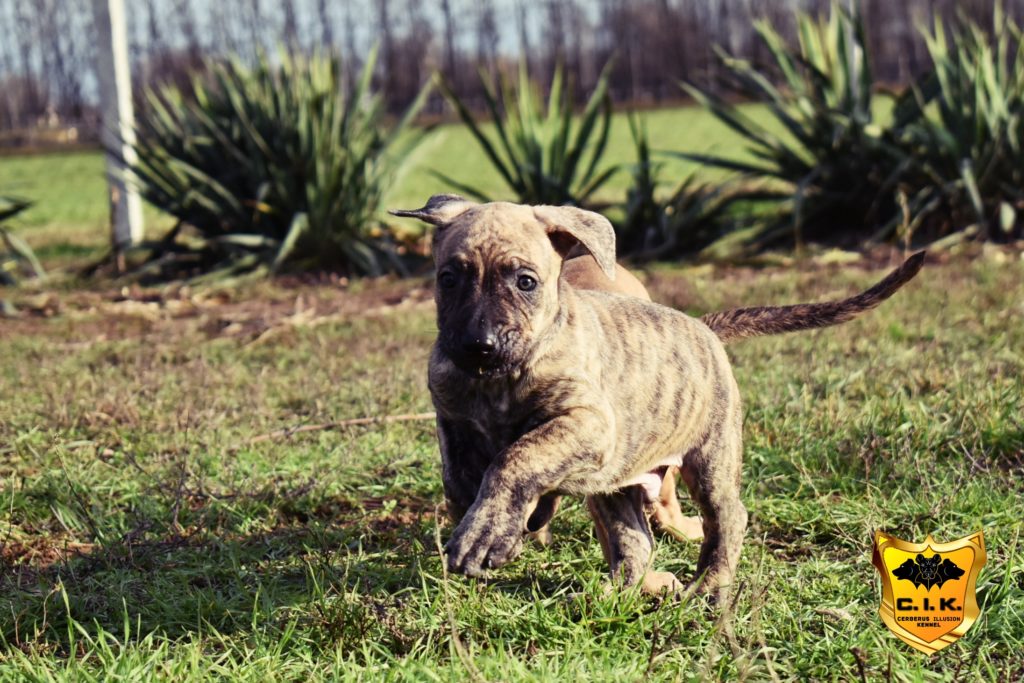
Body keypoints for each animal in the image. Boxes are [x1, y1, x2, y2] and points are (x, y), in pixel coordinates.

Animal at [389, 194, 921, 593]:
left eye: (526, 282)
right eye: (448, 279)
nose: (478, 345)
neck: (498, 379)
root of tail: (704, 328)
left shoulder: (588, 423)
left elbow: (517, 457)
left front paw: (485, 534)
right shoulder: (453, 421)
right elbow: (461, 479)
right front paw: (498, 523)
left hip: (709, 457)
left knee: (729, 518)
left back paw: (708, 587)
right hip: (617, 485)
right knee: (635, 543)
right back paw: (618, 591)